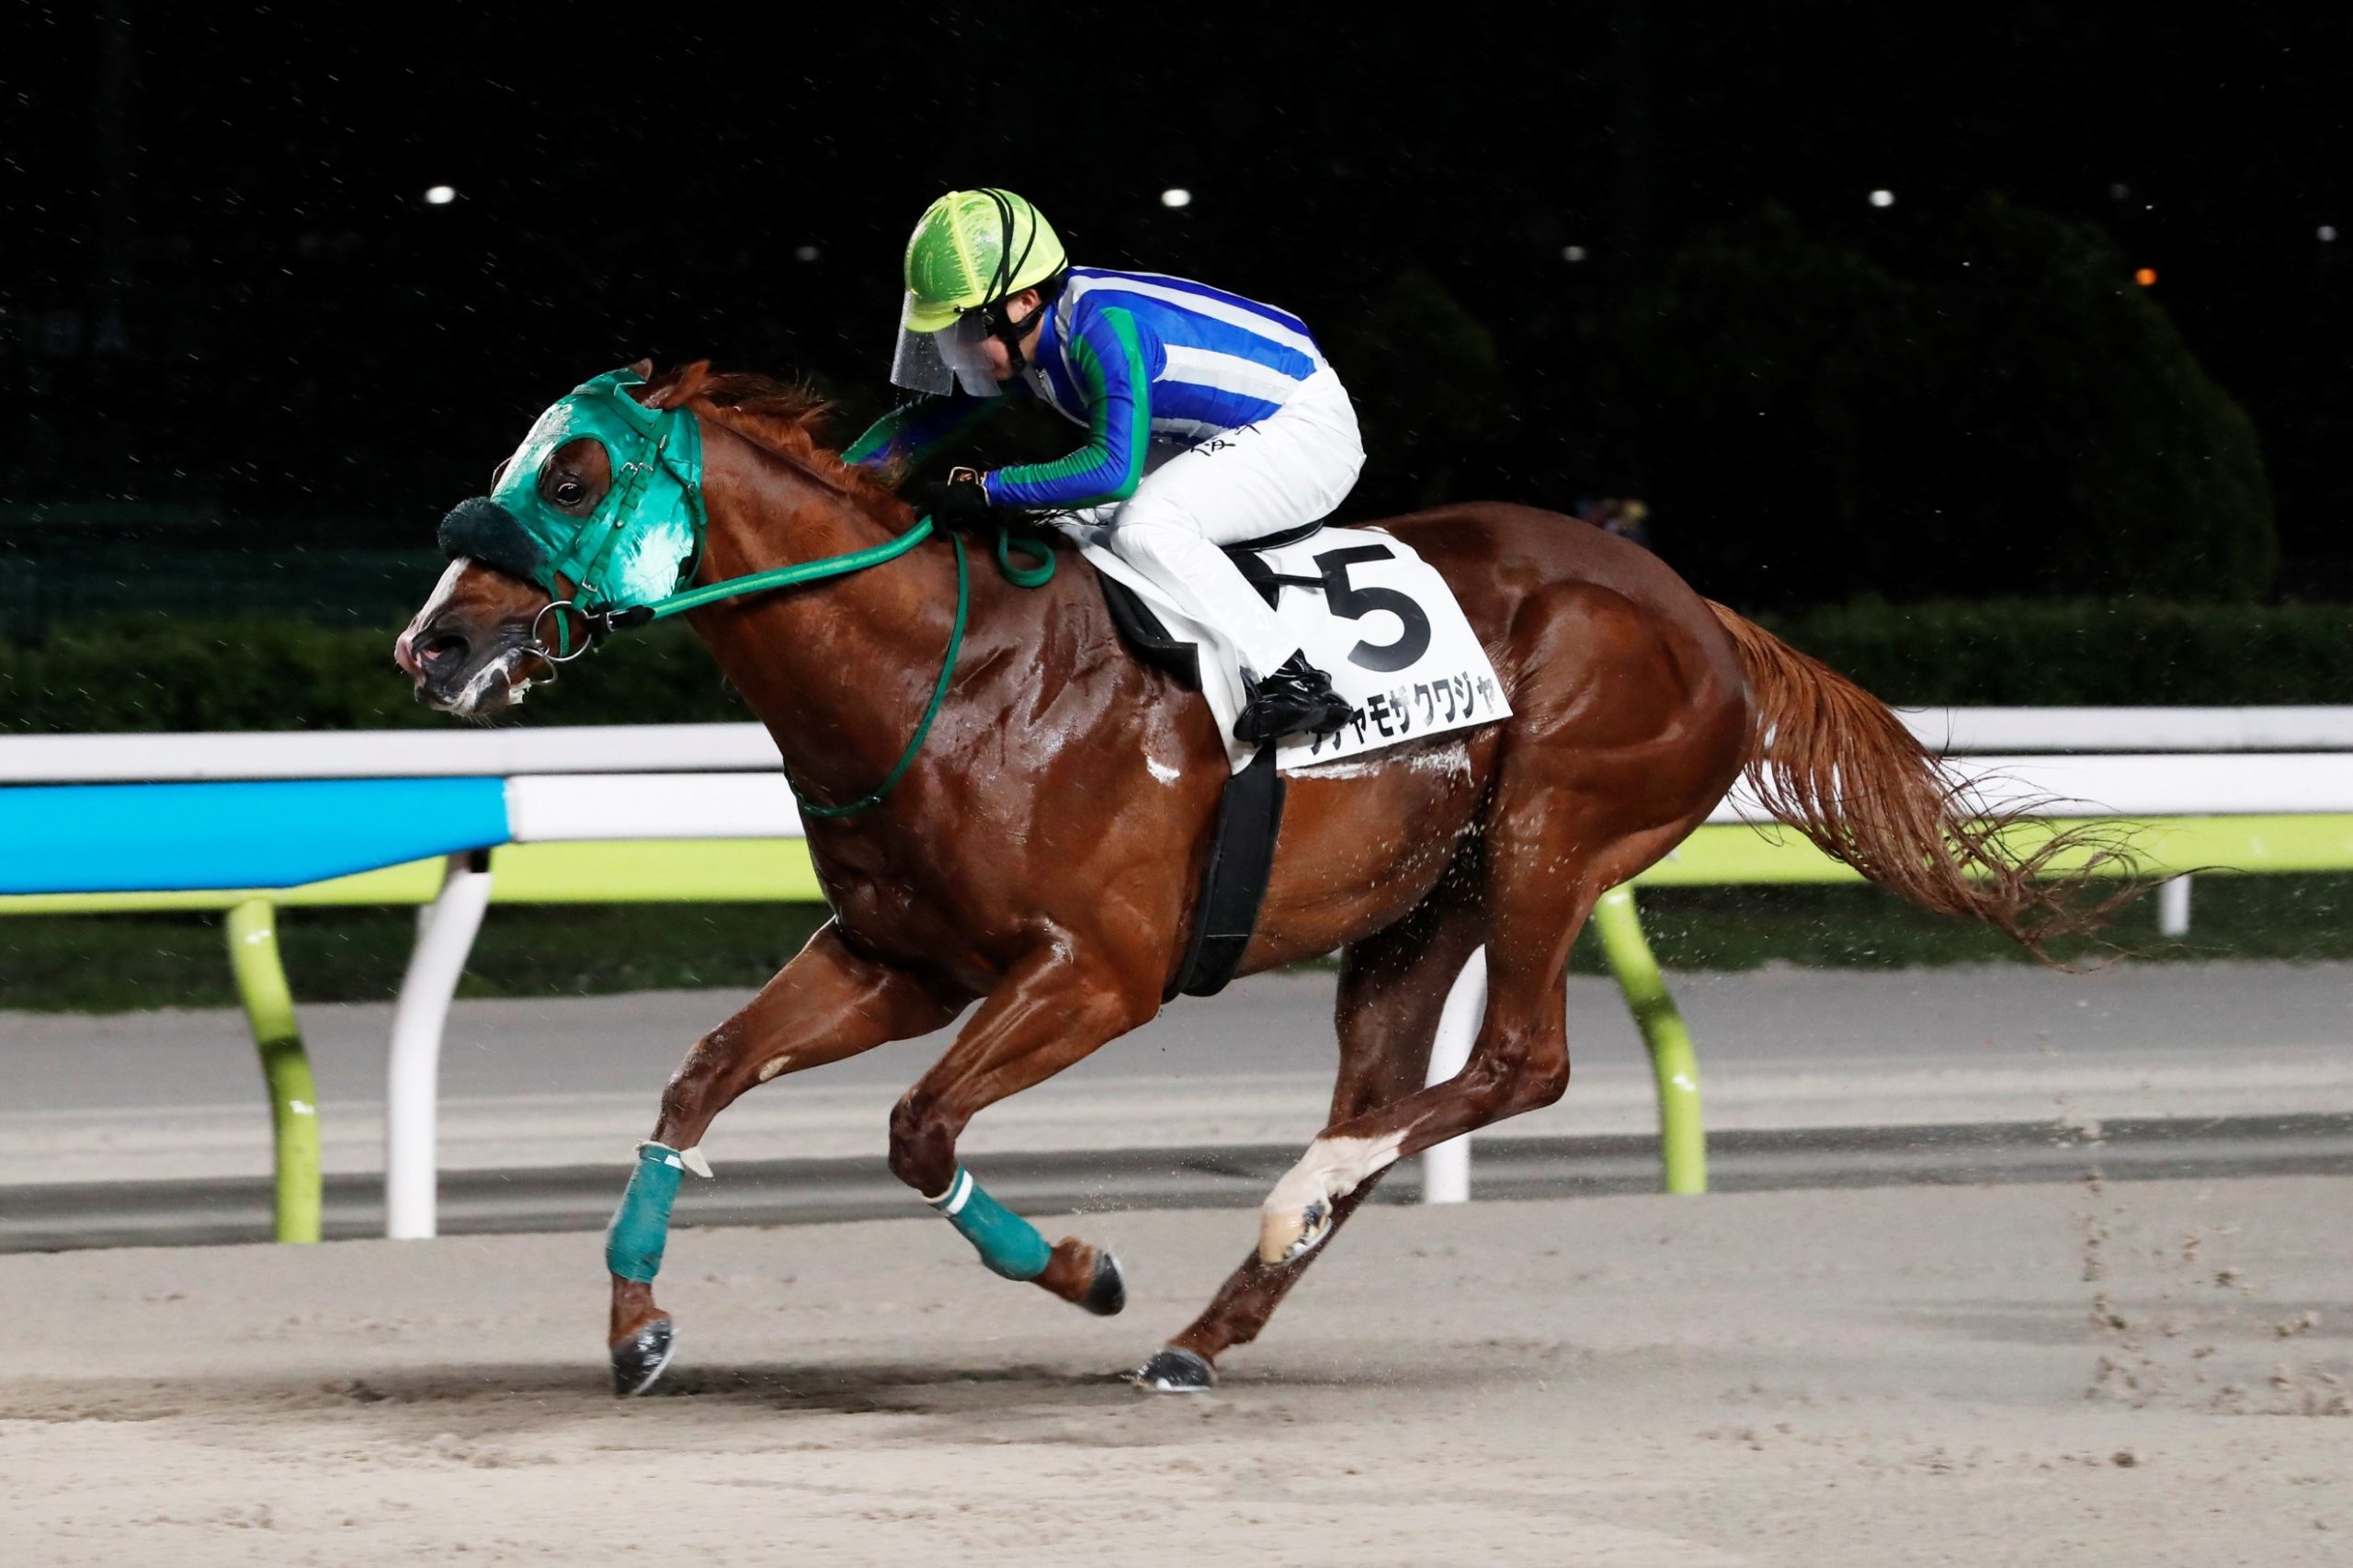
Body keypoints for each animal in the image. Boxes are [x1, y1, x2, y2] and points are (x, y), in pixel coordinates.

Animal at [396, 360, 2116, 1395]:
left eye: (575, 476)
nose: (433, 642)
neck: (942, 676)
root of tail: (1699, 608)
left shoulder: (1098, 971)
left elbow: (918, 1130)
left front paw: (1081, 1268)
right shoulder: (903, 959)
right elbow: (701, 1078)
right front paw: (637, 1324)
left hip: (1560, 826)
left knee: (1520, 1062)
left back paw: (1286, 1203)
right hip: (1420, 910)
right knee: (1392, 1087)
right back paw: (1219, 1318)